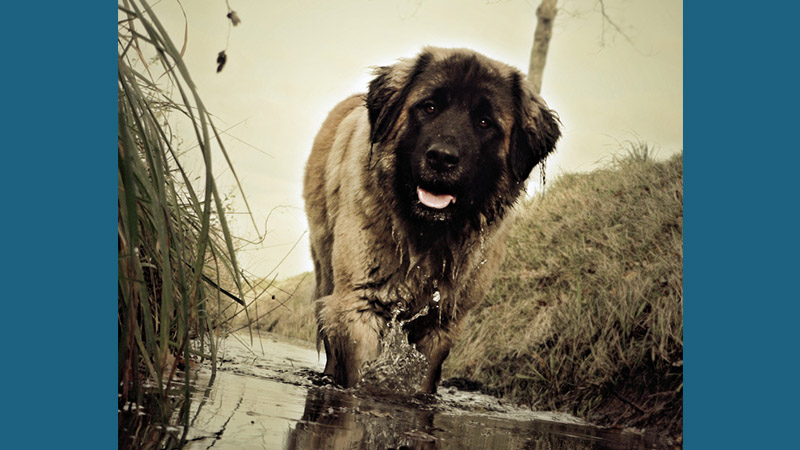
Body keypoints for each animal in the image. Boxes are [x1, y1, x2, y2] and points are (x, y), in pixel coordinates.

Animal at [304, 46, 560, 394]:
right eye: (429, 107)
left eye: (484, 122)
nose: (441, 157)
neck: (427, 236)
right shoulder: (359, 305)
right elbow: (358, 373)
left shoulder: (443, 322)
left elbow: (424, 379)